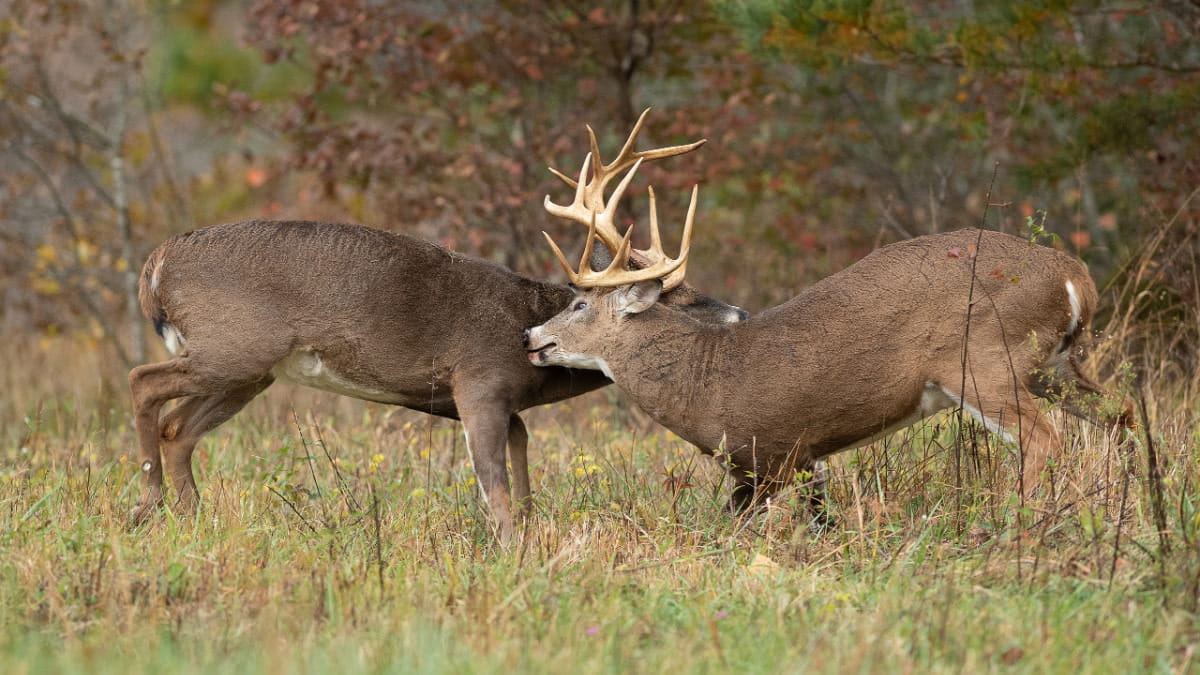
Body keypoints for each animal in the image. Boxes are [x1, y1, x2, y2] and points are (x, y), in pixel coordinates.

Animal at [127, 110, 747, 543]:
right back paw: (147, 504)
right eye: (675, 299)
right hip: (232, 348)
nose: (740, 314)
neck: (525, 326)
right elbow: (495, 490)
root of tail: (156, 263)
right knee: (143, 382)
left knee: (178, 429)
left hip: (249, 371)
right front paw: (511, 557)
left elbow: (522, 478)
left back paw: (192, 519)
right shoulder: (477, 382)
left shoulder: (503, 405)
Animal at [525, 156, 1134, 519]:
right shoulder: (803, 458)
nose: (532, 337)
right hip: (1057, 365)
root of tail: (1072, 275)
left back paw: (1023, 523)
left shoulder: (770, 450)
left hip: (984, 360)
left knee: (1044, 438)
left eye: (579, 304)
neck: (704, 379)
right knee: (1121, 413)